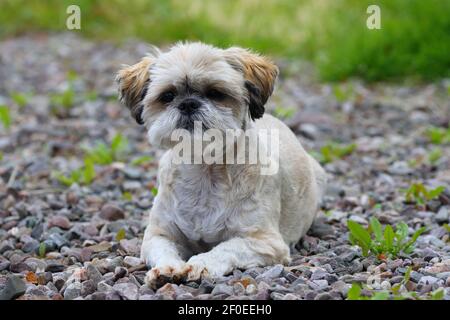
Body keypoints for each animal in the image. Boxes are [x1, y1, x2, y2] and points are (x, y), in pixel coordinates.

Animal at [117, 42, 326, 288]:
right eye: (167, 96)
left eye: (215, 93)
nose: (188, 104)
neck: (204, 169)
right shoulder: (158, 235)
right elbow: (163, 250)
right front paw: (167, 269)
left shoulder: (265, 242)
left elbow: (226, 248)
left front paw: (200, 265)